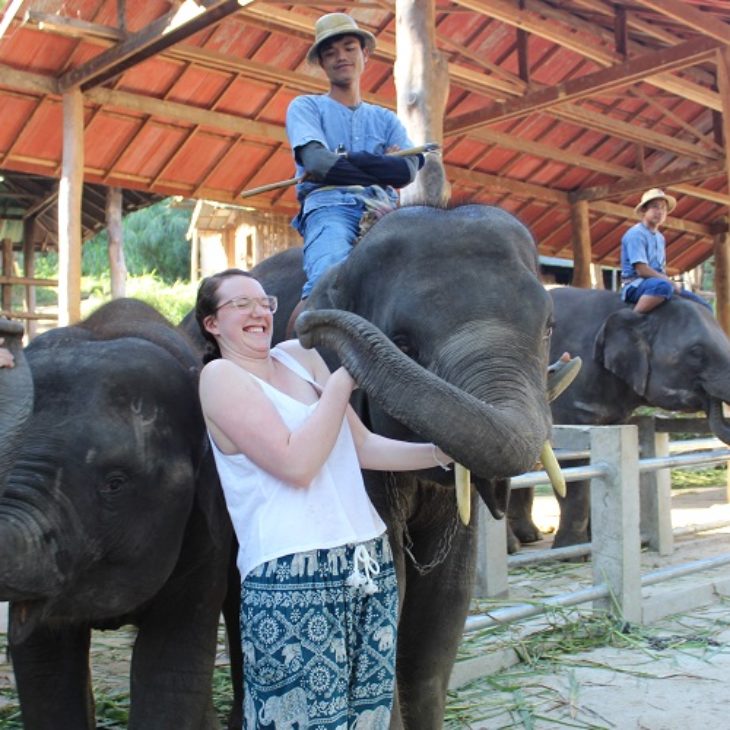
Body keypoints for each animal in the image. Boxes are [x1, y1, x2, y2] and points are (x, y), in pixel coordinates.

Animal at [510, 284, 730, 544]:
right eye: (696, 351)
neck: (627, 308)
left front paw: (594, 539)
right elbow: (572, 463)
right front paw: (572, 548)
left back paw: (529, 537)